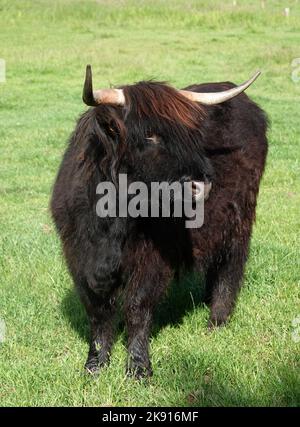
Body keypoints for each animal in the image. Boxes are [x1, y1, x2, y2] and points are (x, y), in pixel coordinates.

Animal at [50, 67, 268, 378]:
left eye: (191, 136)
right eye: (149, 136)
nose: (201, 184)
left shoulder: (154, 257)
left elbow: (138, 306)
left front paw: (138, 368)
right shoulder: (78, 256)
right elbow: (97, 311)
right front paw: (95, 364)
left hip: (239, 217)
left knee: (230, 266)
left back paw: (216, 320)